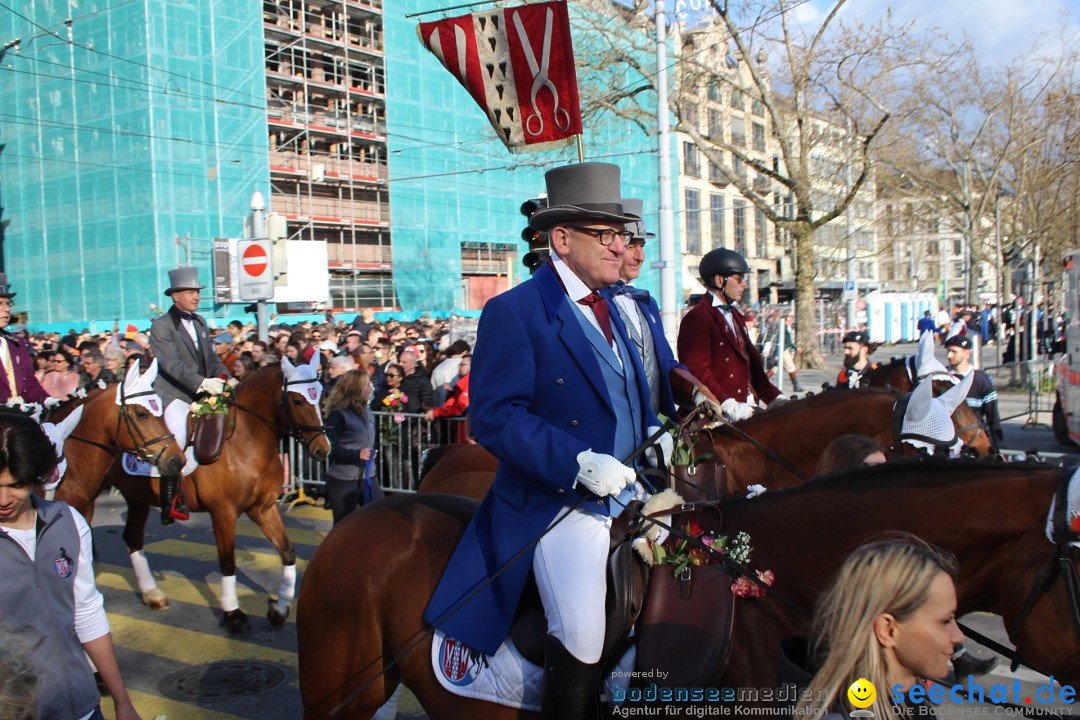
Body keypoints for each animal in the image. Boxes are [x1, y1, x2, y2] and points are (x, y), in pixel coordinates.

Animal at [56, 360, 326, 630]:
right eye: (297, 401)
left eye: (320, 395)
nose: (323, 449)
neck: (245, 440)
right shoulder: (223, 512)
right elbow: (227, 561)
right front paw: (233, 613)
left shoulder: (263, 508)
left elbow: (287, 551)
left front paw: (280, 608)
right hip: (84, 499)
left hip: (136, 498)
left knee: (132, 537)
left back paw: (152, 593)